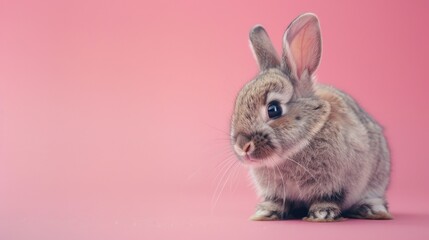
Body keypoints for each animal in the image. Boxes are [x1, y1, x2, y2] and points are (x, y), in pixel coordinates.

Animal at [231, 13, 392, 221]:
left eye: (273, 109)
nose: (242, 146)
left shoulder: (337, 182)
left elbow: (328, 198)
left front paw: (322, 214)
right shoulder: (276, 191)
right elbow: (277, 201)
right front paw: (265, 212)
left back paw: (372, 210)